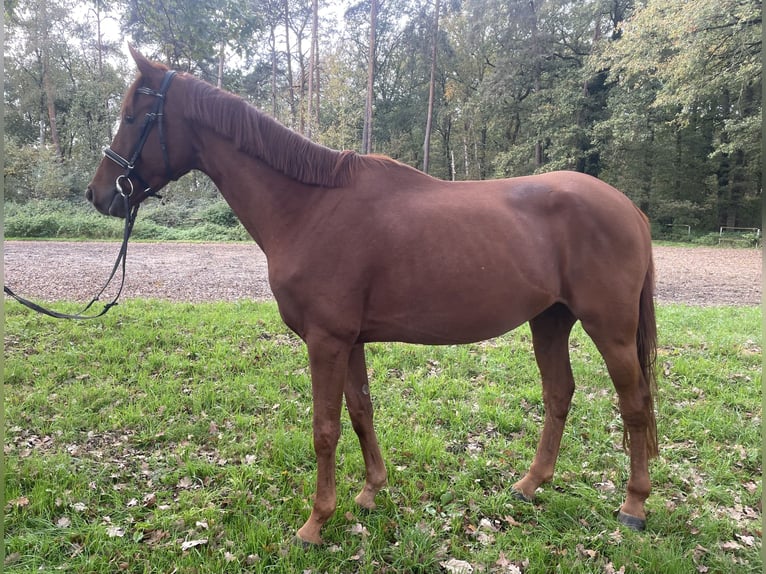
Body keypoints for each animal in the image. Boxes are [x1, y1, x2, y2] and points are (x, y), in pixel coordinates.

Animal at [85, 47, 660, 548]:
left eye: (134, 115)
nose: (99, 194)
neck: (309, 207)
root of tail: (629, 208)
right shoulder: (350, 339)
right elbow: (361, 411)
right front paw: (369, 492)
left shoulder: (326, 340)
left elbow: (325, 428)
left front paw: (315, 523)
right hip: (550, 320)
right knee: (560, 394)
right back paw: (530, 484)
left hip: (608, 329)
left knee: (634, 403)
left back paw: (633, 506)